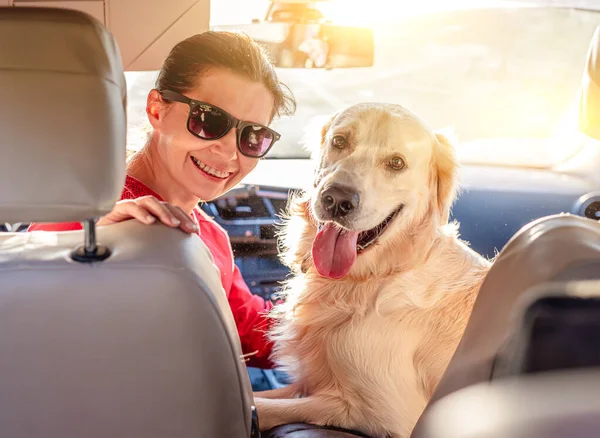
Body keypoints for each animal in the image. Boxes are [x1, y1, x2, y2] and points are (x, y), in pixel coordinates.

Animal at [253, 103, 492, 438]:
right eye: (339, 141)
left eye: (396, 163)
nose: (337, 199)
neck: (377, 276)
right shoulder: (311, 381)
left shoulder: (384, 415)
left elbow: (263, 406)